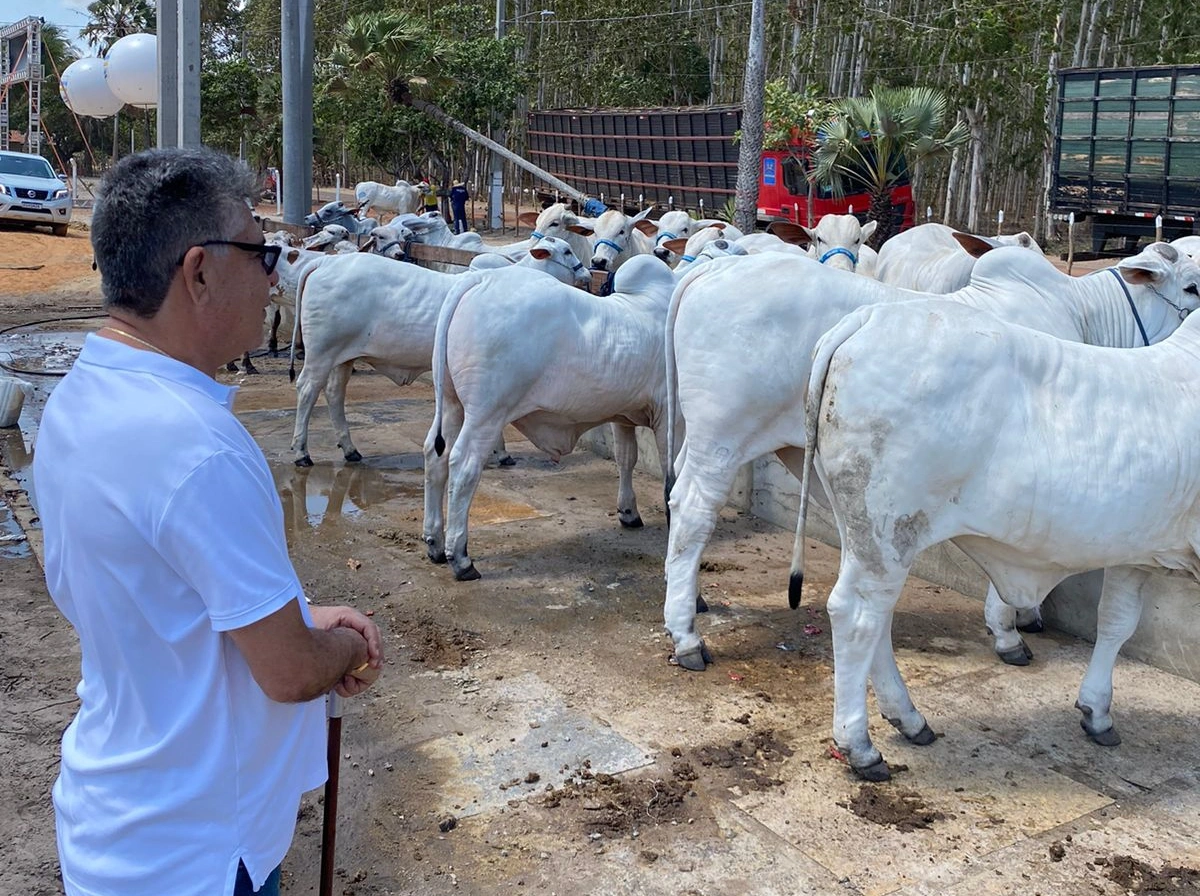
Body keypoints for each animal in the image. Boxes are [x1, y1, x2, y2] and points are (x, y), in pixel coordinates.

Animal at [427, 255, 681, 582]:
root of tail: (480, 280)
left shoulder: (623, 416)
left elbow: (626, 459)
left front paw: (628, 513)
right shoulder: (670, 415)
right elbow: (670, 475)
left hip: (451, 404)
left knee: (436, 456)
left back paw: (434, 544)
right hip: (486, 413)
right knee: (463, 465)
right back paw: (460, 558)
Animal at [662, 245, 1200, 671]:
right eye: (1192, 286)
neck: (1083, 315)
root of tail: (713, 269)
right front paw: (1008, 632)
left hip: (703, 437)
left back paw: (691, 600)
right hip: (722, 439)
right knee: (692, 511)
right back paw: (686, 637)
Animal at [796, 262, 1200, 782]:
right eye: (1189, 286)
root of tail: (865, 320)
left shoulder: (1136, 550)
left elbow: (1115, 622)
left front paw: (1097, 711)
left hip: (863, 531)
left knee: (875, 617)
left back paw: (908, 718)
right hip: (888, 532)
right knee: (856, 616)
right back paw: (860, 746)